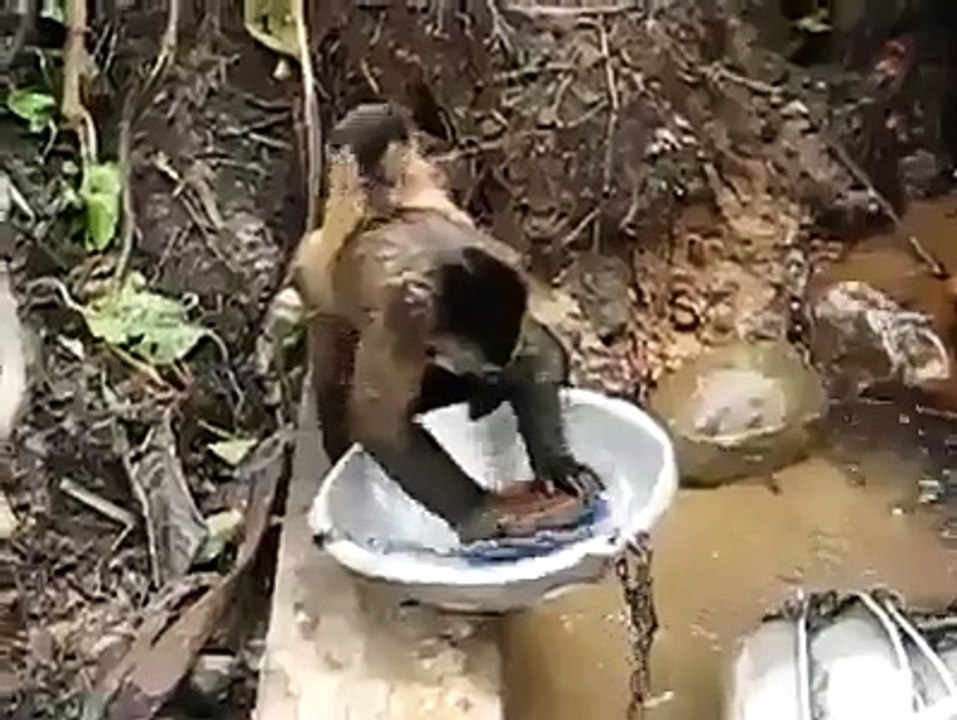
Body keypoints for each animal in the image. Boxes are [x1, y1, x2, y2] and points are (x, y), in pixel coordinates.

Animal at [291, 102, 604, 543]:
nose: (485, 376)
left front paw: (558, 464)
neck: (442, 266)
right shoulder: (406, 317)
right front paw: (482, 514)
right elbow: (379, 425)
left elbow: (537, 353)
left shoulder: (508, 275)